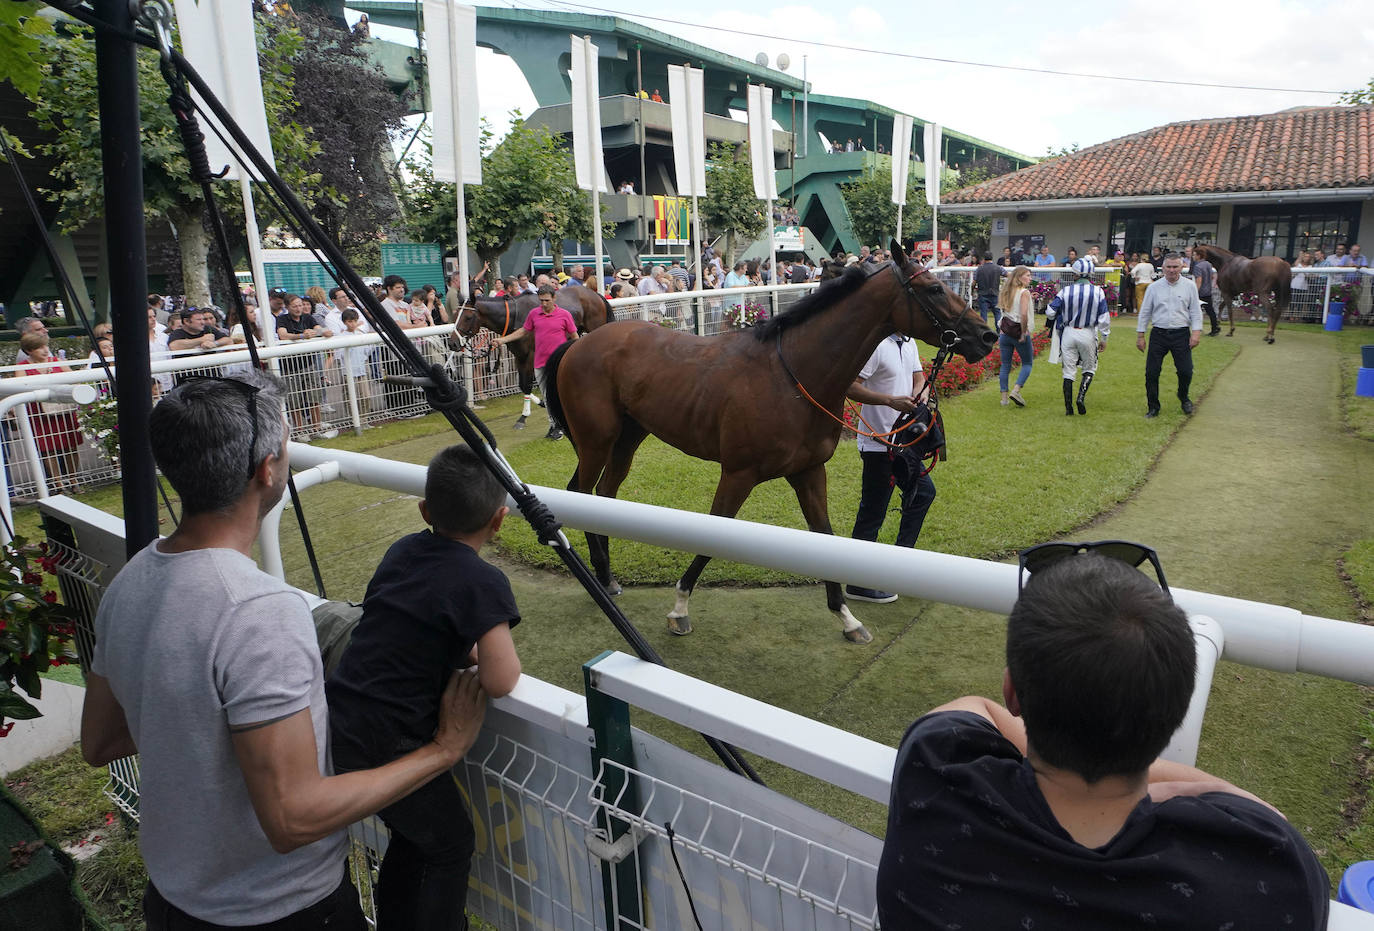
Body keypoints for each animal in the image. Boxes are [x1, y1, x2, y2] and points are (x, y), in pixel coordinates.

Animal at [453, 286, 615, 428]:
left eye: (468, 317)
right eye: (454, 315)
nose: (452, 343)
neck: (514, 316)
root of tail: (594, 293)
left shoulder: (531, 356)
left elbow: (527, 384)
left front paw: (525, 415)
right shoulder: (519, 356)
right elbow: (522, 385)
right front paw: (540, 404)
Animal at [538, 244, 1000, 645]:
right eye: (934, 288)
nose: (987, 336)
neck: (792, 375)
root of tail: (580, 342)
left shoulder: (809, 471)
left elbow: (825, 536)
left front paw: (847, 618)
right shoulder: (739, 473)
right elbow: (713, 534)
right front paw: (679, 608)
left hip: (628, 438)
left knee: (604, 494)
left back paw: (607, 577)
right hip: (597, 440)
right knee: (583, 492)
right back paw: (600, 578)